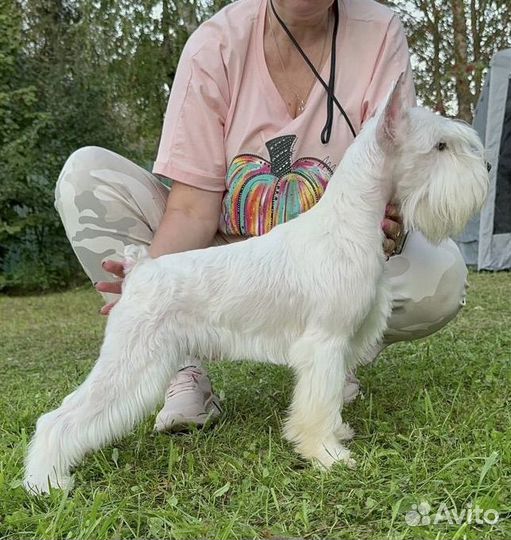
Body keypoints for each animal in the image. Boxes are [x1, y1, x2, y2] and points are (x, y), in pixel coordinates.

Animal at [25, 75, 492, 494]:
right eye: (440, 146)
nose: (487, 167)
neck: (347, 223)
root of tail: (139, 271)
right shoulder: (324, 345)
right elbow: (316, 406)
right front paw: (327, 454)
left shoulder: (338, 344)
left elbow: (331, 400)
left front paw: (338, 433)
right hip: (130, 363)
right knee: (57, 420)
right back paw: (46, 481)